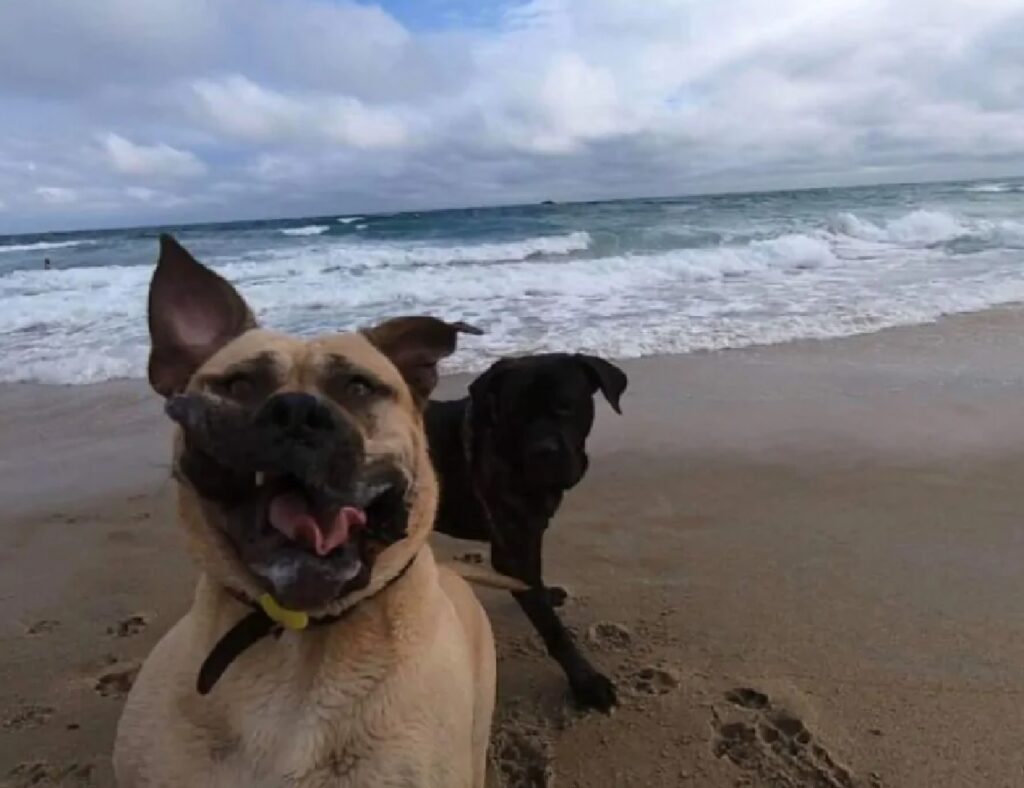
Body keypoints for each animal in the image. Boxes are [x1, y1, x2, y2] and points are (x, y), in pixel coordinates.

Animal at [423, 352, 622, 708]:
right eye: (515, 413)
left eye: (565, 406)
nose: (544, 451)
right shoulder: (512, 549)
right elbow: (553, 629)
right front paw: (585, 681)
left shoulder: (530, 535)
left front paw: (545, 593)